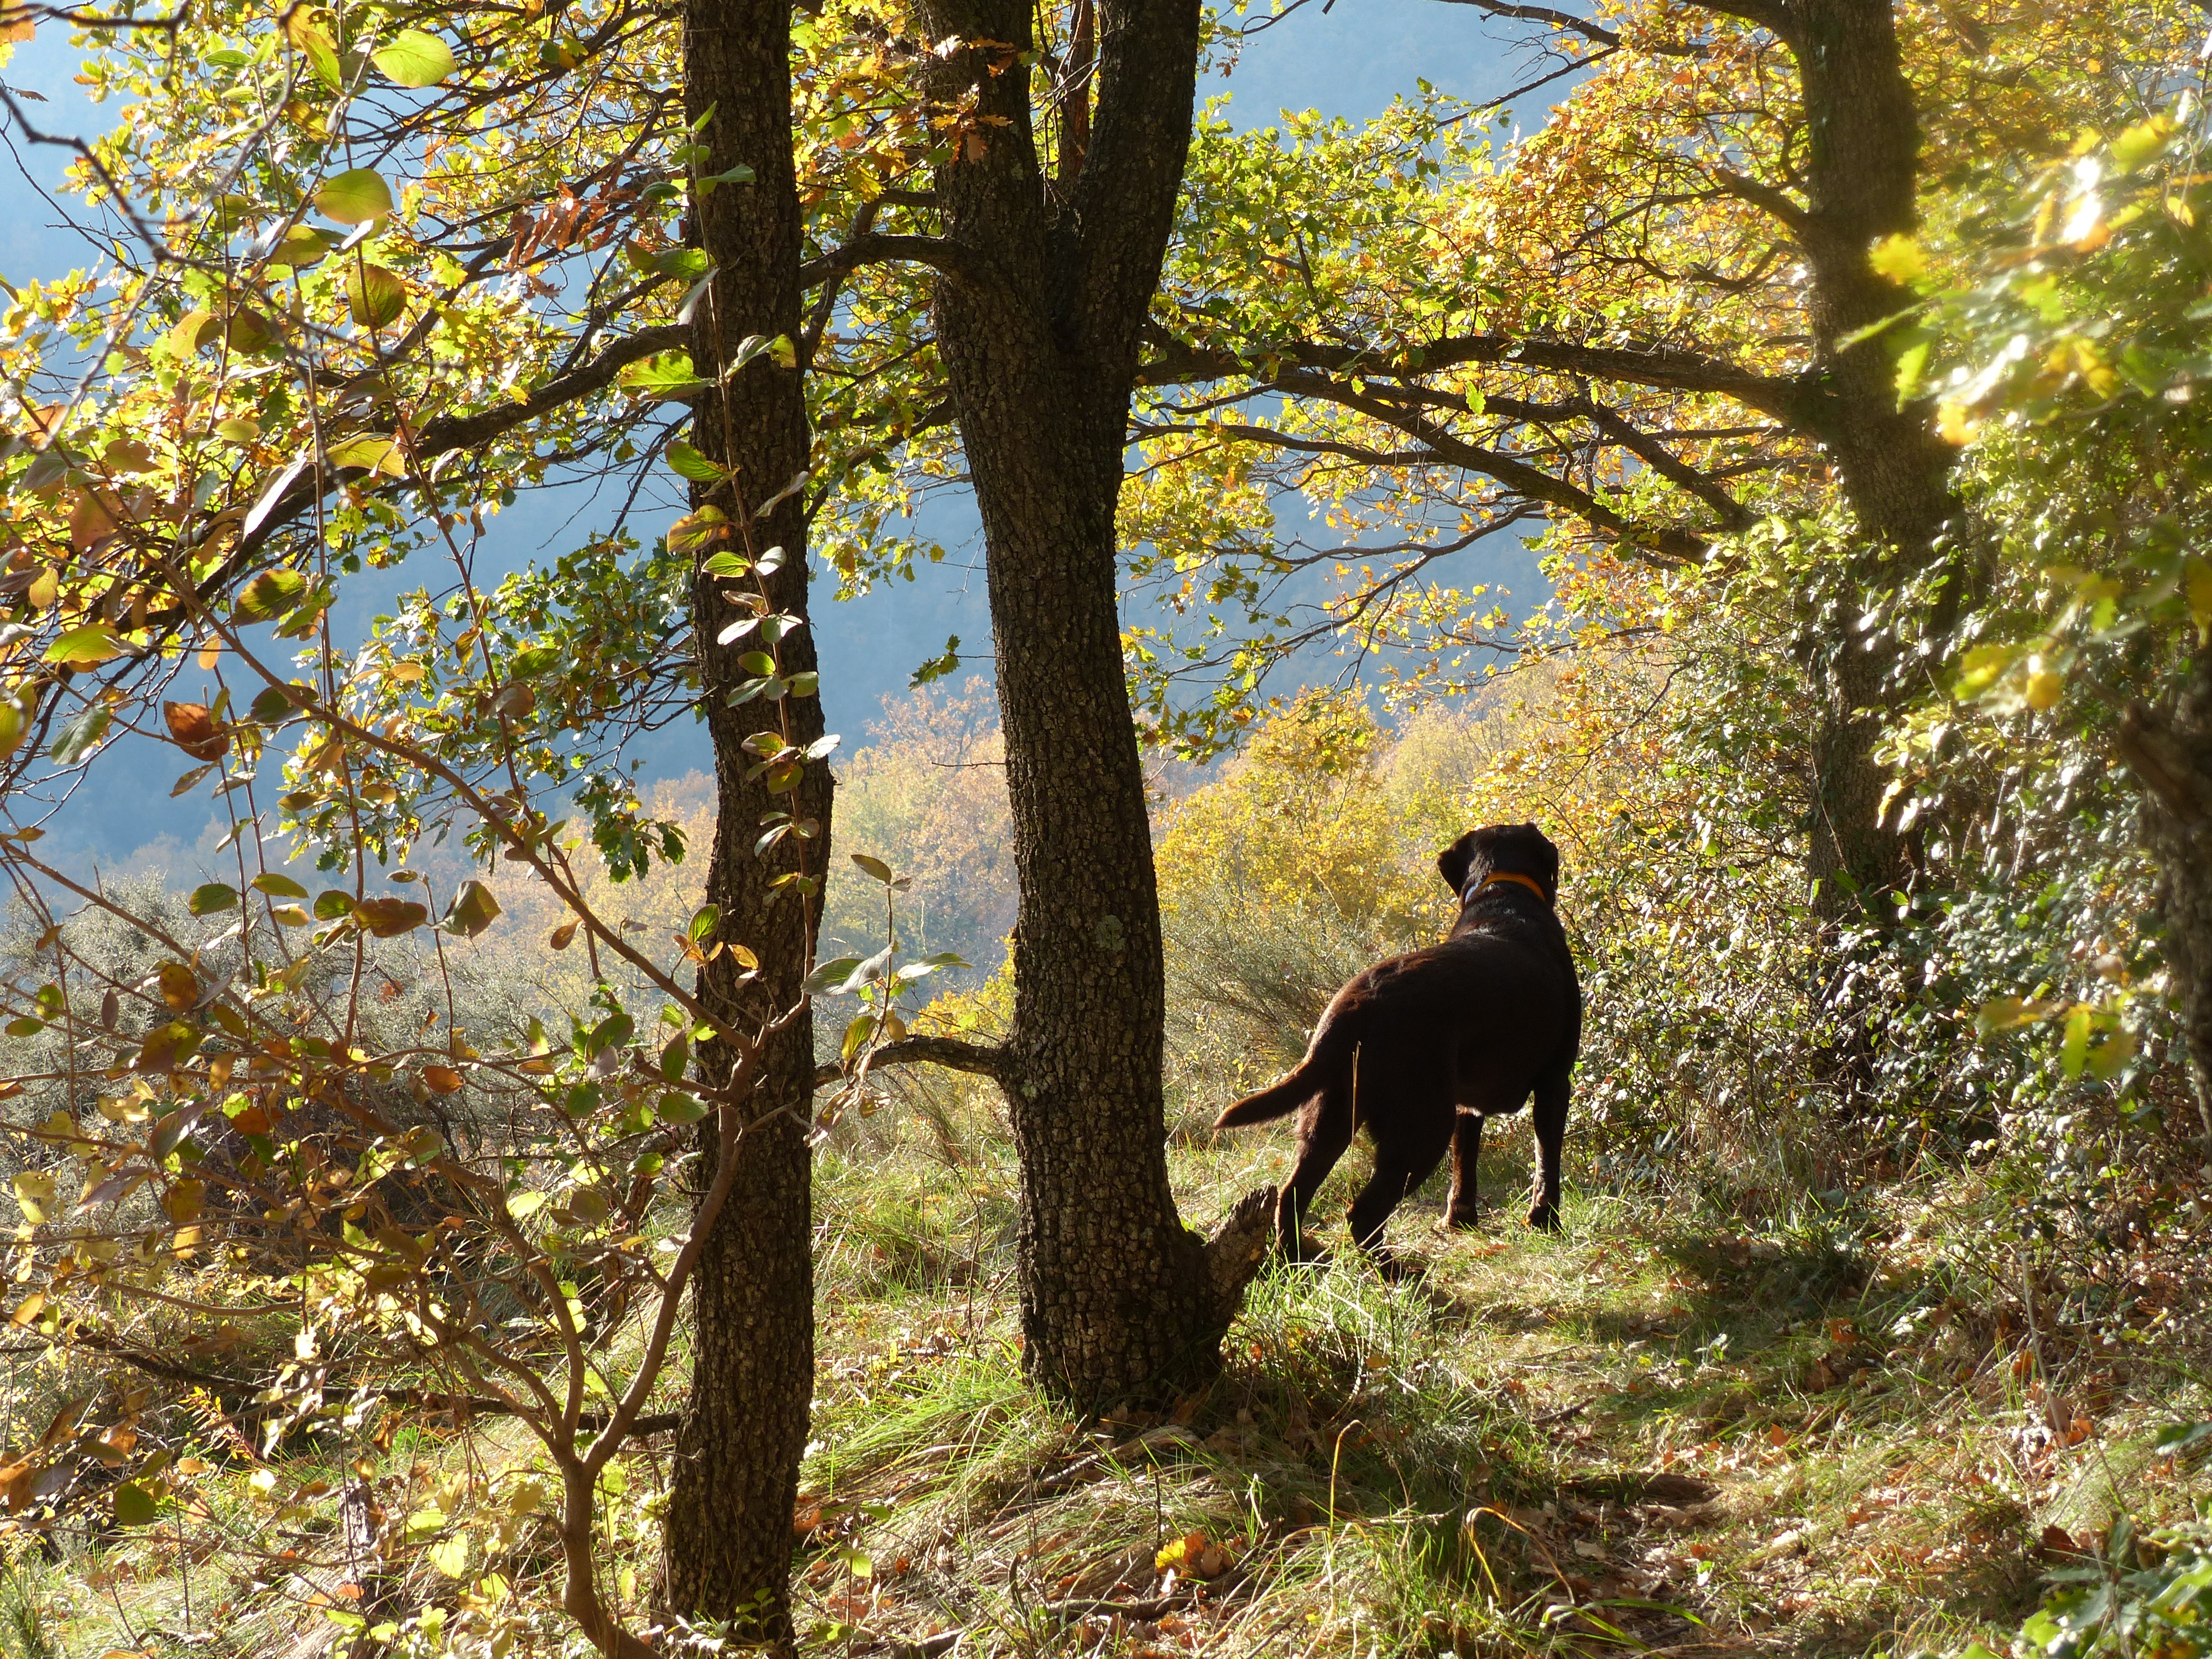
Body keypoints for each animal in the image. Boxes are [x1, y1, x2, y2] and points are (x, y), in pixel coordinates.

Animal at [1212, 822, 1581, 1261]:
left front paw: (1459, 1220)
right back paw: (1396, 1270)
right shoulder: (1555, 1082)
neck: (1504, 896)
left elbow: (1465, 1165)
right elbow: (1547, 1161)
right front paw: (1546, 1222)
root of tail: (1354, 1008)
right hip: (1421, 1126)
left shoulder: (1467, 1105)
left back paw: (1298, 1256)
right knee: (1363, 1211)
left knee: (1292, 1194)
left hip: (1331, 1116)